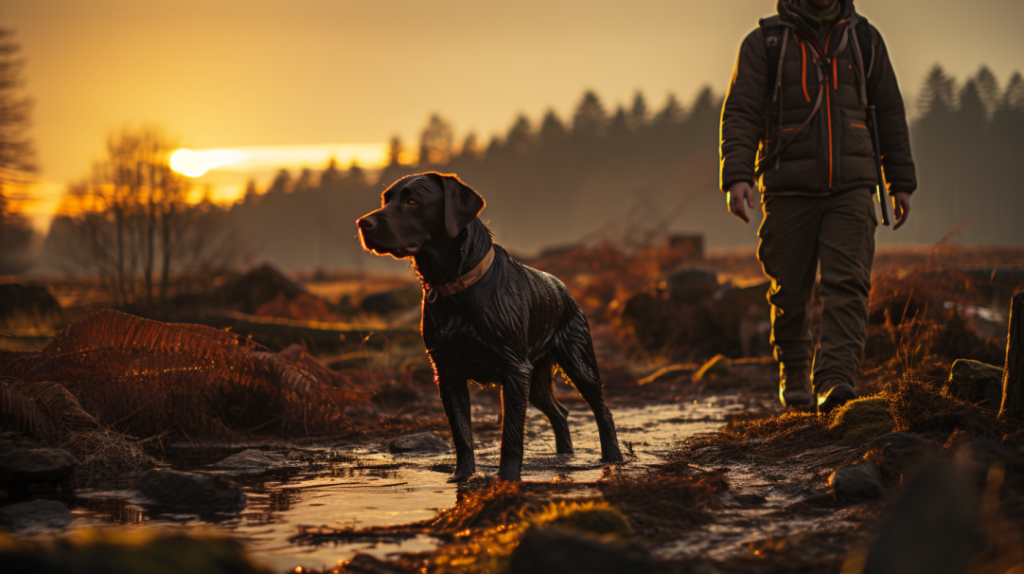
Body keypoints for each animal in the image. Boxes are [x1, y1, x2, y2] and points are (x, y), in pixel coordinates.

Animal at [356, 171, 618, 480]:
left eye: (412, 201)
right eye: (386, 200)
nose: (362, 223)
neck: (455, 287)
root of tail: (563, 288)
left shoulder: (514, 370)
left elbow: (512, 435)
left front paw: (507, 478)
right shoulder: (448, 372)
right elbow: (462, 434)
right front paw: (463, 476)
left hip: (578, 363)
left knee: (602, 410)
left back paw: (613, 459)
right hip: (536, 380)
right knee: (560, 412)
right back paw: (565, 456)